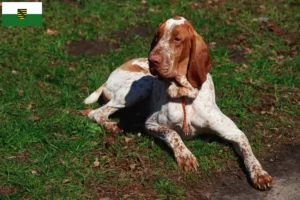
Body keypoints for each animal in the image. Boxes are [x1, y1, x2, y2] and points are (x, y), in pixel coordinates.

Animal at [84, 16, 274, 190]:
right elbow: (173, 134)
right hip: (139, 88)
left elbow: (248, 152)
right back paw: (111, 126)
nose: (152, 60)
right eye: (157, 36)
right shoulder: (151, 123)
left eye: (177, 39)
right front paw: (186, 156)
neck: (184, 94)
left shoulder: (234, 132)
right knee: (96, 112)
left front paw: (260, 174)